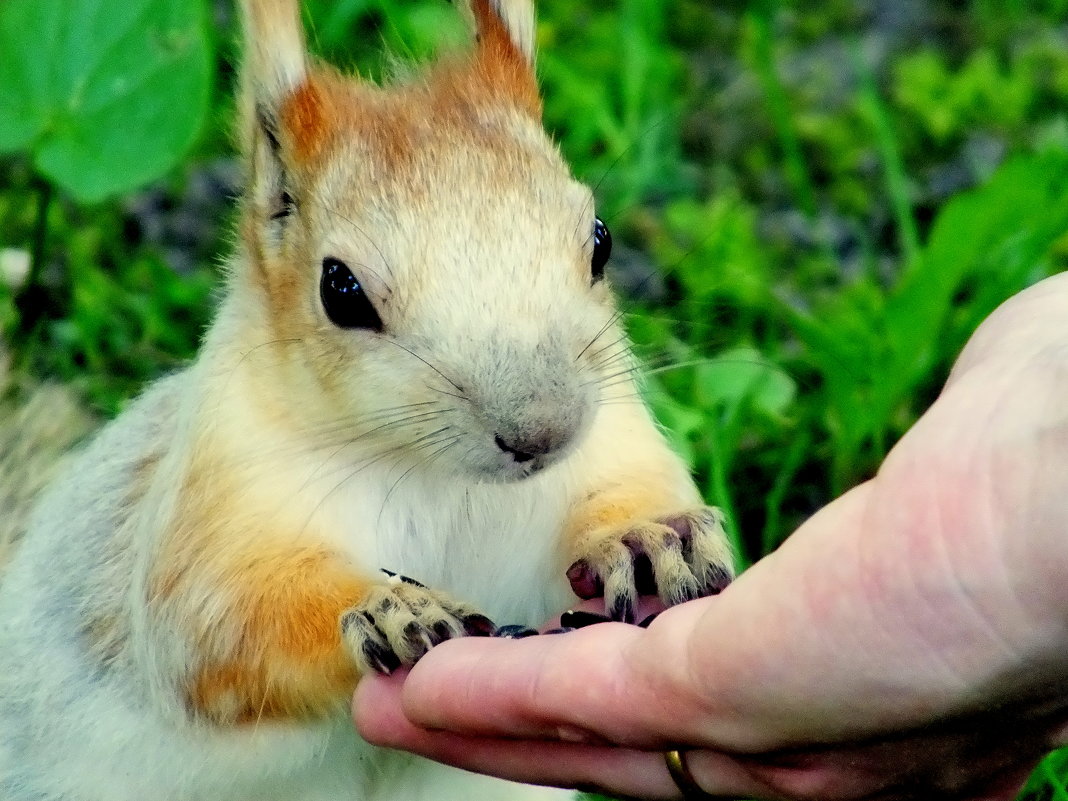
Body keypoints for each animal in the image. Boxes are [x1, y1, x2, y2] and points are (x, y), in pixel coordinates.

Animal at [0, 1, 734, 801]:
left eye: (599, 241)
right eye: (341, 290)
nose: (542, 433)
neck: (436, 473)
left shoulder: (609, 434)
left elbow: (621, 492)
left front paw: (649, 536)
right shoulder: (211, 511)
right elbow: (220, 623)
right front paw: (388, 609)